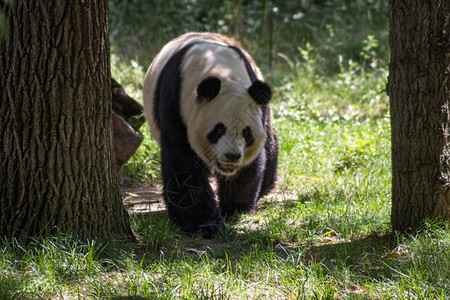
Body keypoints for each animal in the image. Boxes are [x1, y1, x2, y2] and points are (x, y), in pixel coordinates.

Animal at [144, 32, 278, 238]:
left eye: (247, 132)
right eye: (218, 130)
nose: (231, 156)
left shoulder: (257, 111)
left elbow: (251, 163)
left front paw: (234, 207)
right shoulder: (176, 106)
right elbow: (183, 166)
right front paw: (204, 224)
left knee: (270, 144)